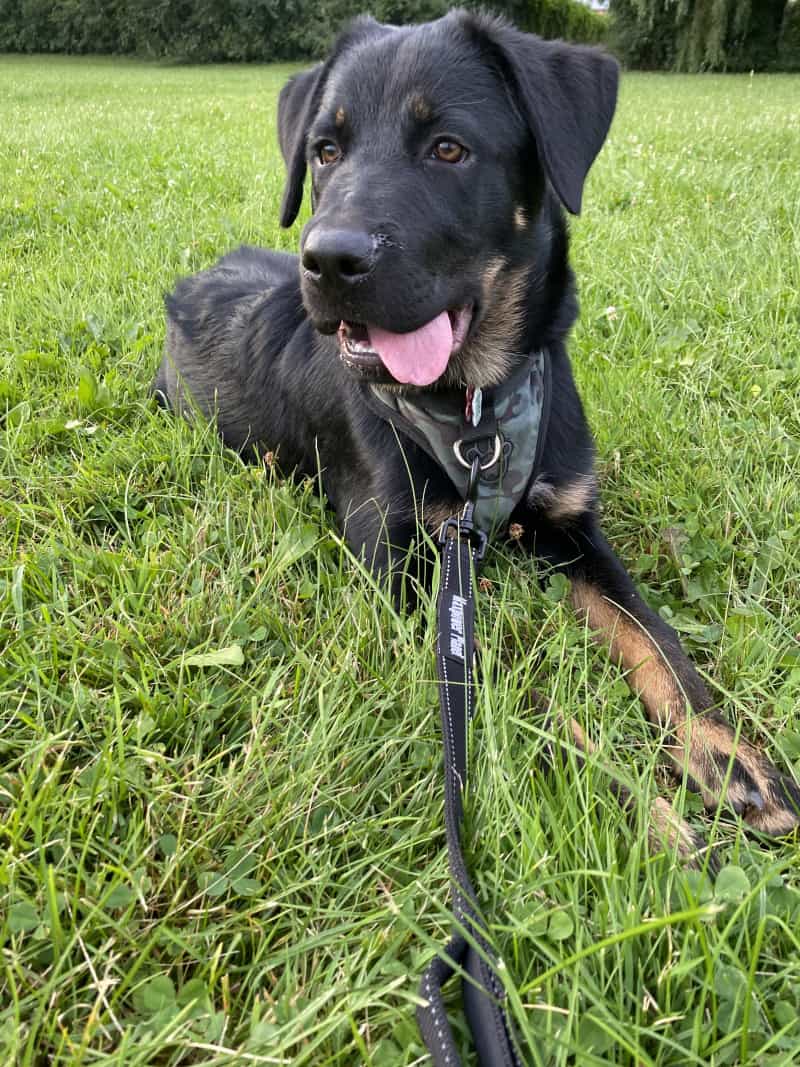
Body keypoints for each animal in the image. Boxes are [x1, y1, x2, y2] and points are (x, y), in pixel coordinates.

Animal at [154, 10, 800, 857]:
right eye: (326, 151)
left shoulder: (574, 527)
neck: (475, 410)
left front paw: (726, 752)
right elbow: (516, 686)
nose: (325, 260)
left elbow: (657, 638)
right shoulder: (400, 573)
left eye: (449, 148)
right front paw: (640, 803)